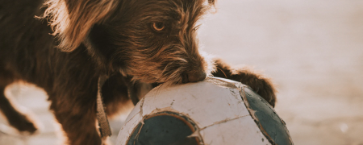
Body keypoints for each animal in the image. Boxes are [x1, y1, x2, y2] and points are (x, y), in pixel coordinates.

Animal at [0, 0, 278, 144]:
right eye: (158, 25)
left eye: (194, 21)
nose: (198, 75)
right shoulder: (72, 107)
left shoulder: (144, 72)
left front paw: (247, 77)